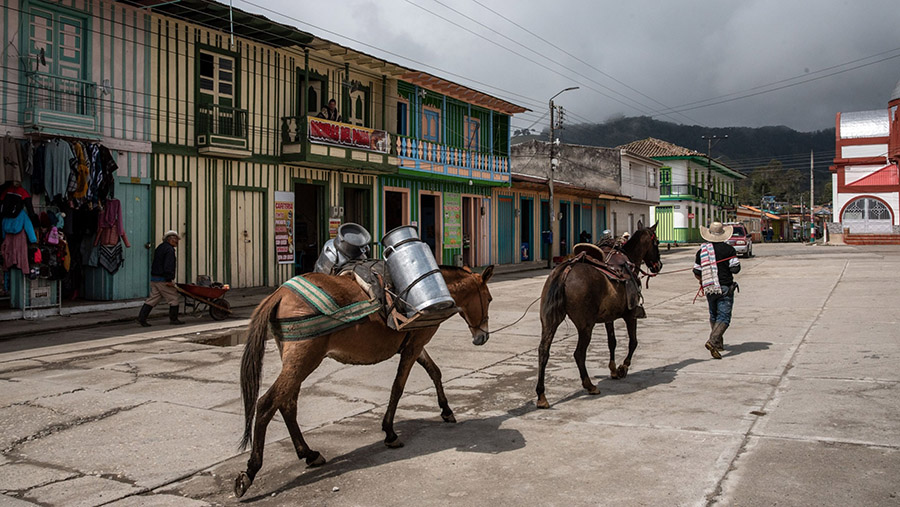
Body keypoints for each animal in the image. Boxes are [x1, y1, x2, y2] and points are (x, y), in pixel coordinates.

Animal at [236, 266, 496, 496]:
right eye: (489, 298)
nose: (483, 337)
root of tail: (280, 293)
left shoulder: (415, 345)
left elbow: (435, 372)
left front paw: (446, 410)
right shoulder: (414, 346)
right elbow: (398, 387)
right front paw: (390, 433)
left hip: (295, 362)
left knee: (288, 404)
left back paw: (309, 453)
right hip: (304, 360)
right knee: (267, 404)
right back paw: (250, 472)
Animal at [536, 222, 660, 408]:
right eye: (657, 243)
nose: (658, 265)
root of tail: (567, 270)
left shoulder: (609, 317)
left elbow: (612, 342)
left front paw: (613, 369)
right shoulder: (630, 315)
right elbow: (633, 342)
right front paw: (622, 368)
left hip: (549, 322)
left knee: (543, 351)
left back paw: (541, 396)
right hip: (585, 326)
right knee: (579, 354)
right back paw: (590, 386)